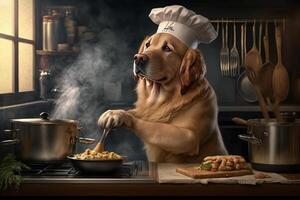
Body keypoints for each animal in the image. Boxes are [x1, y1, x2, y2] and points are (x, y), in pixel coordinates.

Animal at [98, 32, 227, 163]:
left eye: (167, 48)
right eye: (147, 44)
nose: (138, 58)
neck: (165, 99)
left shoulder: (190, 137)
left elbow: (155, 126)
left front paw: (120, 116)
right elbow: (136, 112)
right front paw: (112, 113)